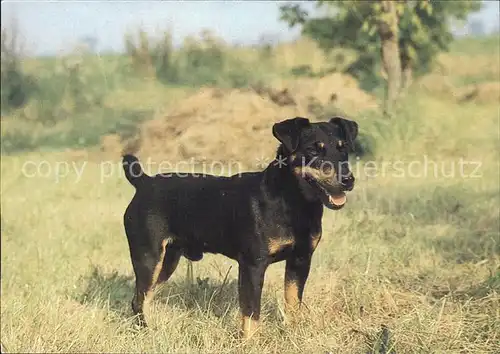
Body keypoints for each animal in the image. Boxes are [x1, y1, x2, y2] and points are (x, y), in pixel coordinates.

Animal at [121, 115, 358, 338]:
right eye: (312, 150)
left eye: (343, 148)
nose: (348, 179)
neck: (291, 201)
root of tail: (144, 182)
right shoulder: (253, 265)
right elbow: (251, 312)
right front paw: (251, 342)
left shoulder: (300, 260)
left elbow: (293, 302)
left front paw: (293, 333)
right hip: (149, 257)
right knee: (138, 299)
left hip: (167, 260)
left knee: (146, 297)